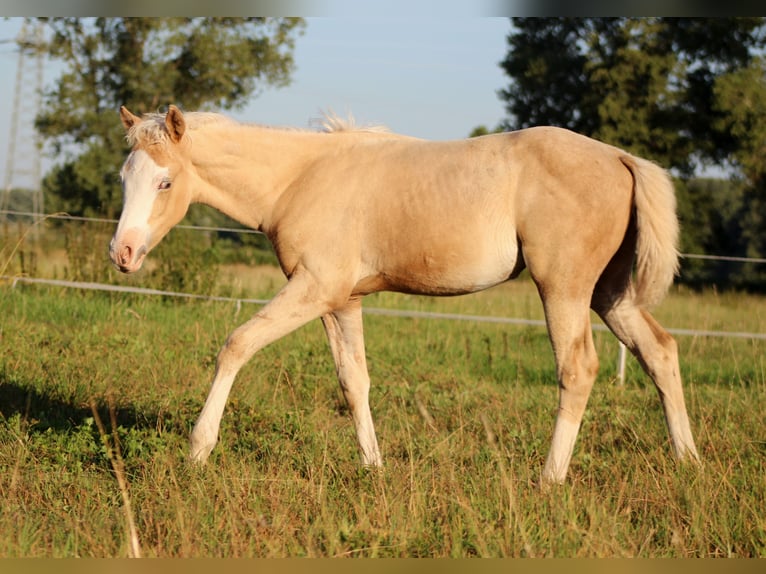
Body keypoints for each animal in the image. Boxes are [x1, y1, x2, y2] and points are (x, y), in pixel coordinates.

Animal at [110, 105, 699, 483]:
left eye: (165, 182)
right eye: (123, 177)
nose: (123, 253)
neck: (302, 177)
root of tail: (622, 158)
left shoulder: (313, 289)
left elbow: (236, 344)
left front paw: (198, 450)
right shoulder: (341, 302)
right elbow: (354, 381)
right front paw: (373, 468)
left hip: (565, 290)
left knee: (578, 370)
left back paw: (549, 480)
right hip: (609, 294)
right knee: (660, 352)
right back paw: (687, 461)